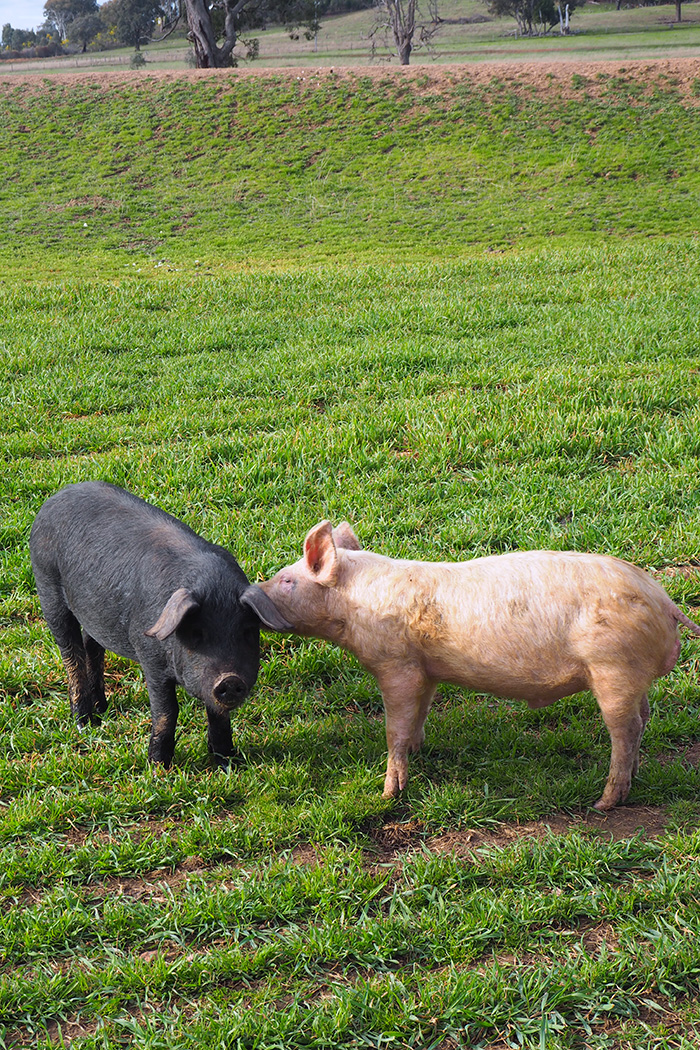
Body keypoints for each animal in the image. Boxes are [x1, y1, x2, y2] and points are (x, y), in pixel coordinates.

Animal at [30, 481, 289, 767]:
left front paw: (227, 762)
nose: (229, 679)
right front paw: (158, 766)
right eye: (196, 632)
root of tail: (56, 497)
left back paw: (102, 709)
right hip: (47, 587)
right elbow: (167, 710)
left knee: (92, 645)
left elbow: (217, 712)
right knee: (70, 654)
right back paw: (85, 723)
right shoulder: (149, 656)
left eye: (247, 632)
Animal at [242, 520, 700, 810]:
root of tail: (665, 602)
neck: (352, 606)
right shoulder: (425, 669)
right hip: (631, 674)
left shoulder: (397, 664)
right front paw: (419, 749)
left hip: (612, 667)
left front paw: (389, 794)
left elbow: (394, 727)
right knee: (644, 716)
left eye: (287, 580)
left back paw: (605, 803)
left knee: (627, 728)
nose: (247, 595)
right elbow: (419, 713)